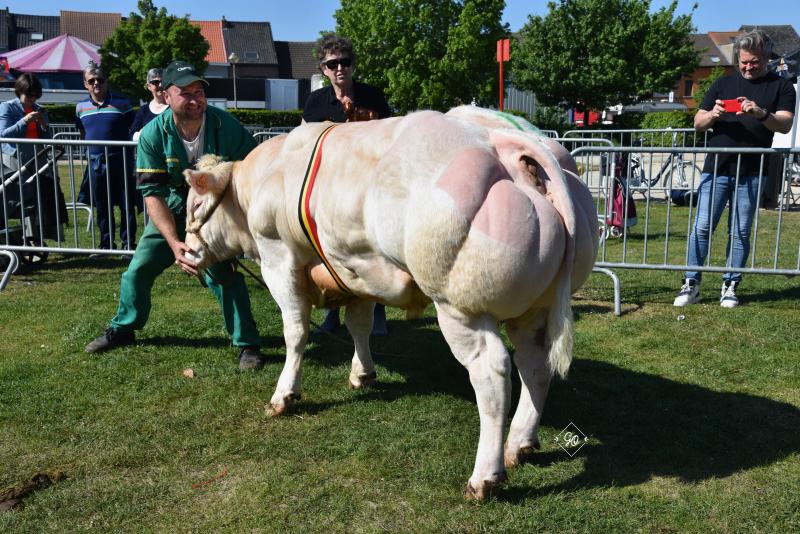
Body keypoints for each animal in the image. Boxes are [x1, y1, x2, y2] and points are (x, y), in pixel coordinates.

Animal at [184, 107, 596, 500]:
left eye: (195, 204)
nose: (186, 254)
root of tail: (502, 139)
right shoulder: (354, 270)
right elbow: (359, 324)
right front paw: (362, 374)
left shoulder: (278, 258)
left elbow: (295, 332)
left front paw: (284, 395)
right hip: (534, 309)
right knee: (535, 365)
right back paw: (520, 444)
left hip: (460, 307)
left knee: (493, 372)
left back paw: (485, 478)